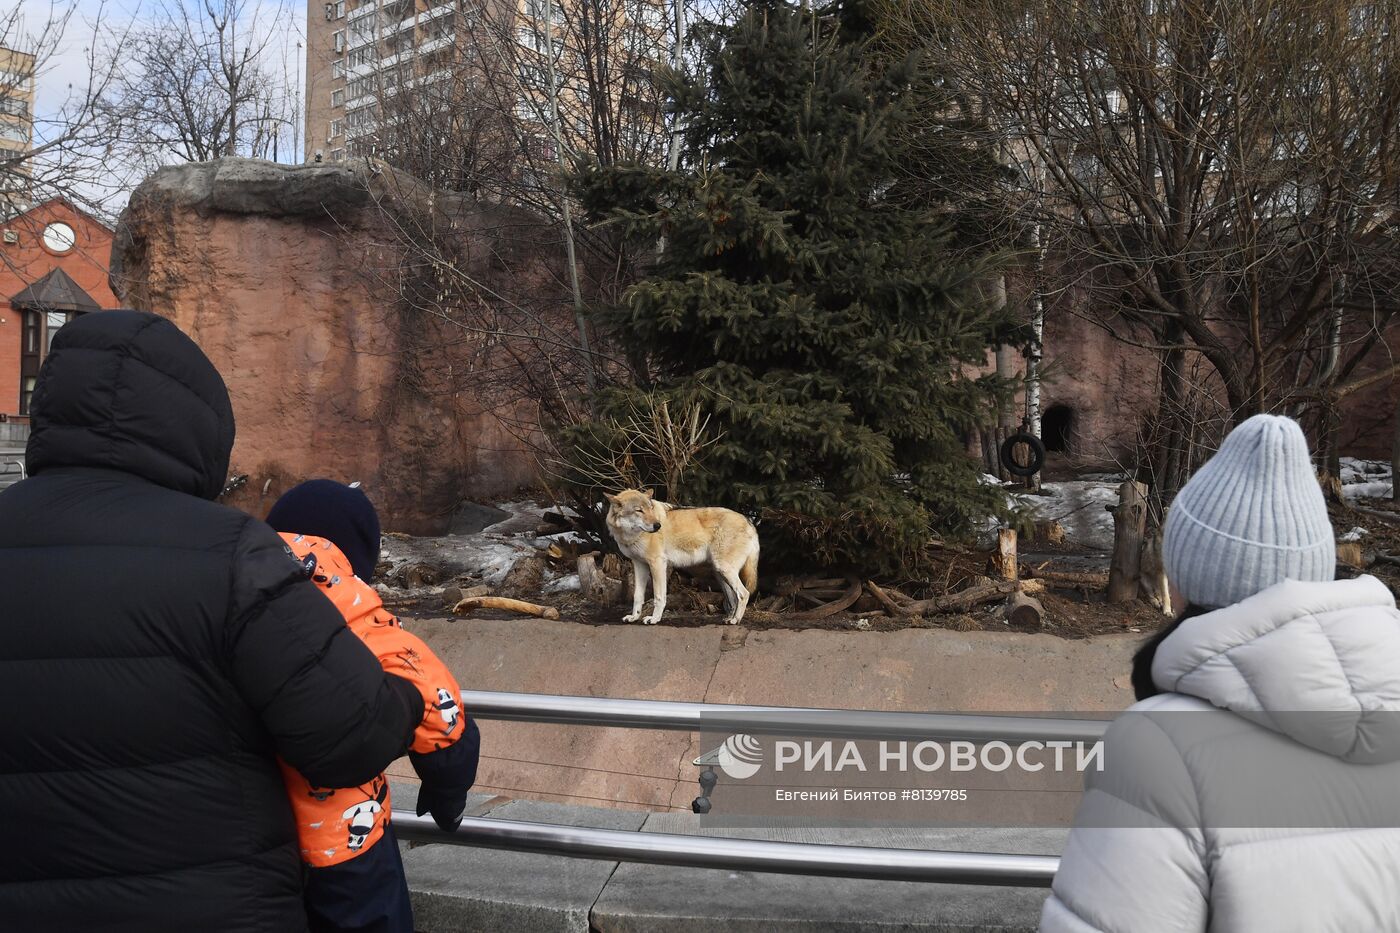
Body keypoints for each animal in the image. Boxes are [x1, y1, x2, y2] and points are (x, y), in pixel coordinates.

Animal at [599, 487, 756, 624]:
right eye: (639, 510)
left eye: (650, 509)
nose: (658, 526)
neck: (631, 536)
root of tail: (749, 522)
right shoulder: (639, 565)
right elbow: (637, 596)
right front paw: (634, 617)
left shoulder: (657, 564)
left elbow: (659, 597)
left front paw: (654, 619)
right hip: (720, 573)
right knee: (733, 598)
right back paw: (729, 618)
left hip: (724, 569)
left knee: (744, 594)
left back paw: (735, 620)